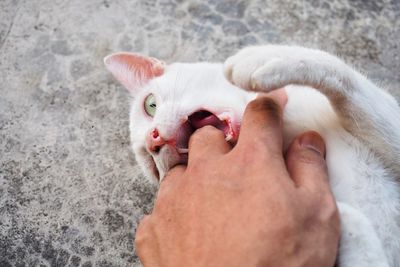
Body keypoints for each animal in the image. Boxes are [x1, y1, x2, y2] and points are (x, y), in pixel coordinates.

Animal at [104, 45, 400, 266]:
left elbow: (342, 76)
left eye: (150, 105)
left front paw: (269, 57)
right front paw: (340, 215)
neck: (288, 132)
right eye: (153, 165)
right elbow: (358, 228)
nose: (152, 140)